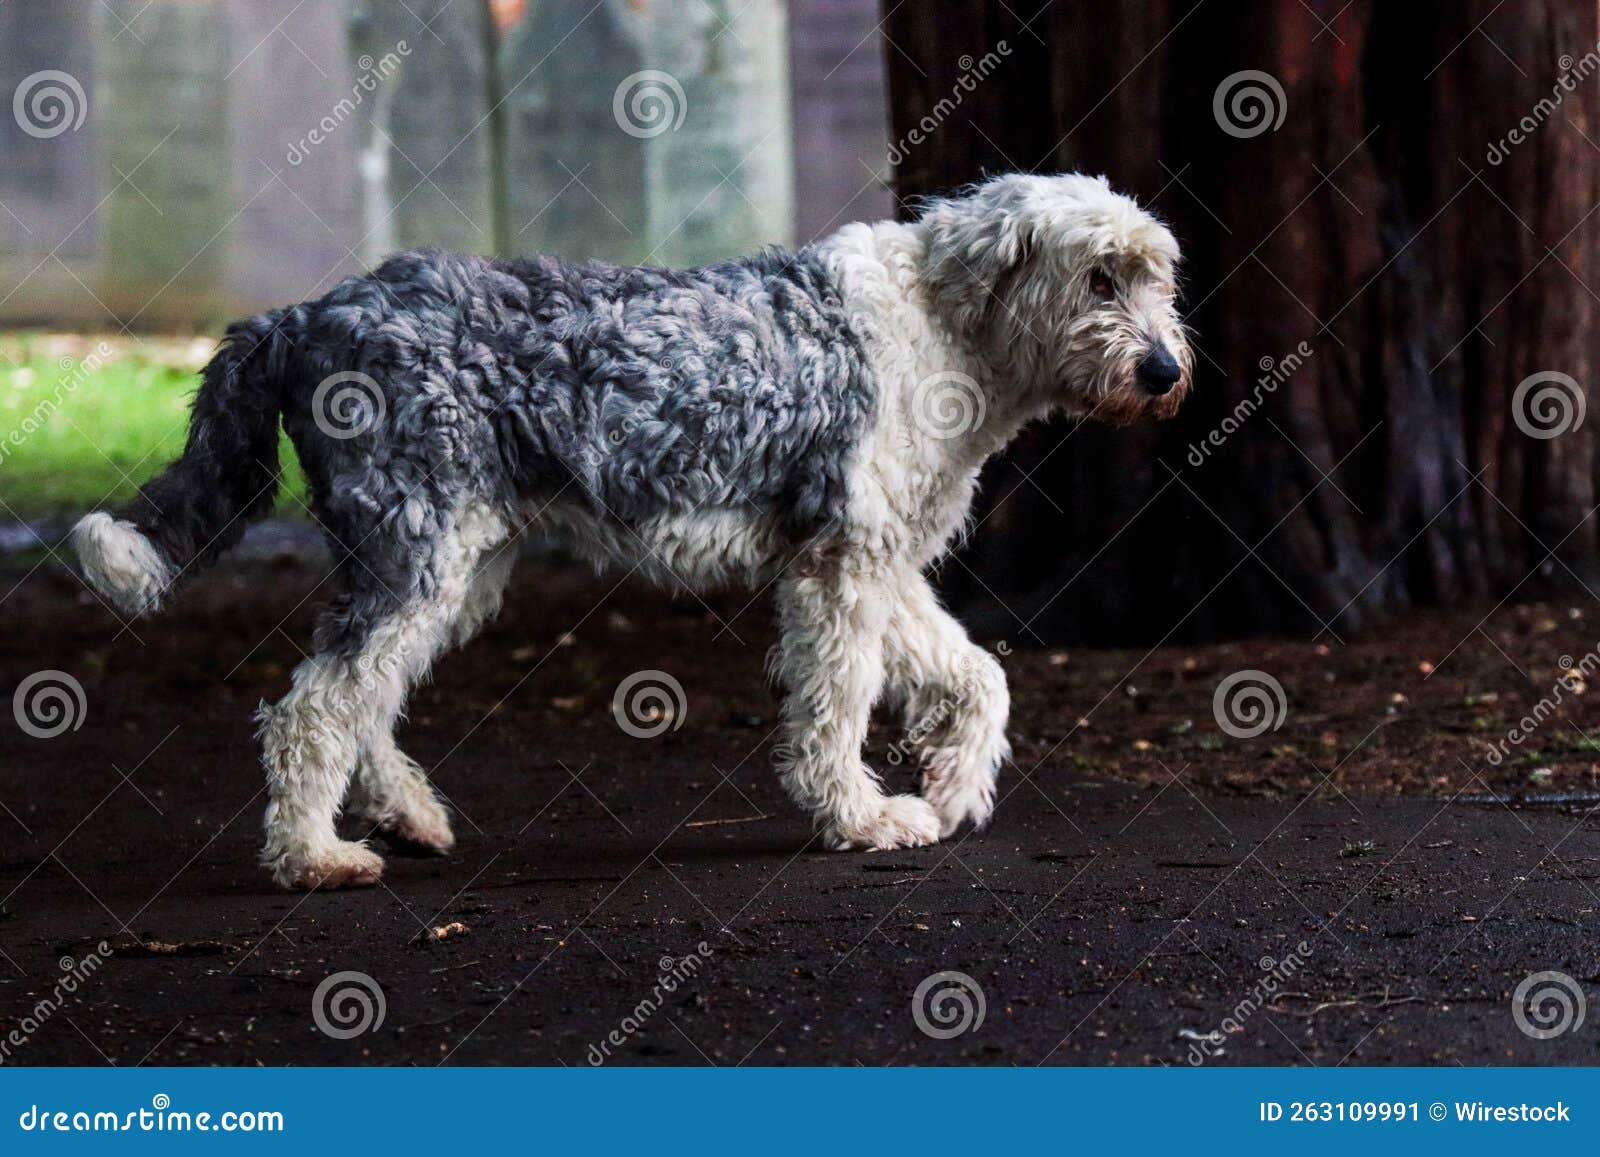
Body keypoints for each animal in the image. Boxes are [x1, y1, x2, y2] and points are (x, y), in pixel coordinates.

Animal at [72, 174, 1190, 896]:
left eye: (1157, 277)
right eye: (1099, 275)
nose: (1166, 372)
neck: (944, 327)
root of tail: (303, 315)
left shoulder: (877, 565)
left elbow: (976, 676)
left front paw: (953, 786)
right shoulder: (838, 571)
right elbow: (836, 710)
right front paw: (860, 819)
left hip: (450, 565)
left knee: (363, 699)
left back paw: (408, 814)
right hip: (416, 551)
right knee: (311, 709)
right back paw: (315, 858)